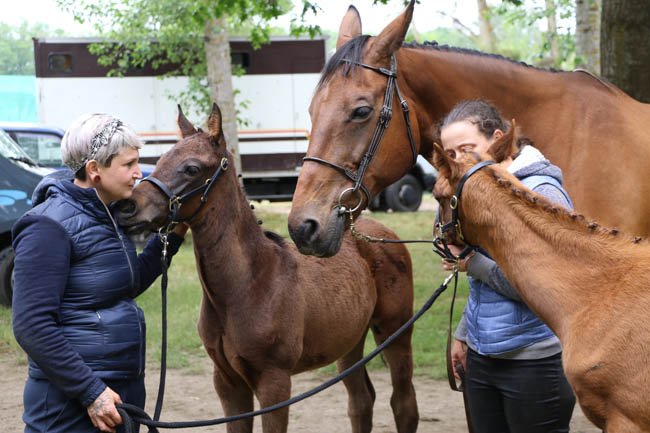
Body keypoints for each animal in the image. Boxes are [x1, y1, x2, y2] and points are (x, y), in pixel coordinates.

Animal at [115, 104, 419, 433]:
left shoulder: (274, 381)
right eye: (160, 162)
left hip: (396, 332)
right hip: (349, 341)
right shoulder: (227, 382)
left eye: (192, 168)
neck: (248, 282)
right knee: (361, 401)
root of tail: (383, 234)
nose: (127, 208)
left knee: (403, 404)